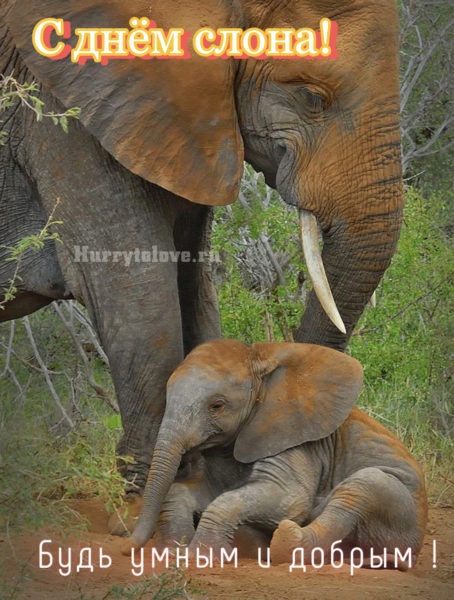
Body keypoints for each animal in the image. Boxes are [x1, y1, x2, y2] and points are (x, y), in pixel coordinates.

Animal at [123, 338, 426, 568]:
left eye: (217, 406)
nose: (126, 549)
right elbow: (192, 491)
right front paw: (173, 550)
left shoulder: (294, 440)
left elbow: (288, 498)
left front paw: (201, 558)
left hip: (399, 506)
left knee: (360, 488)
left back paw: (285, 538)